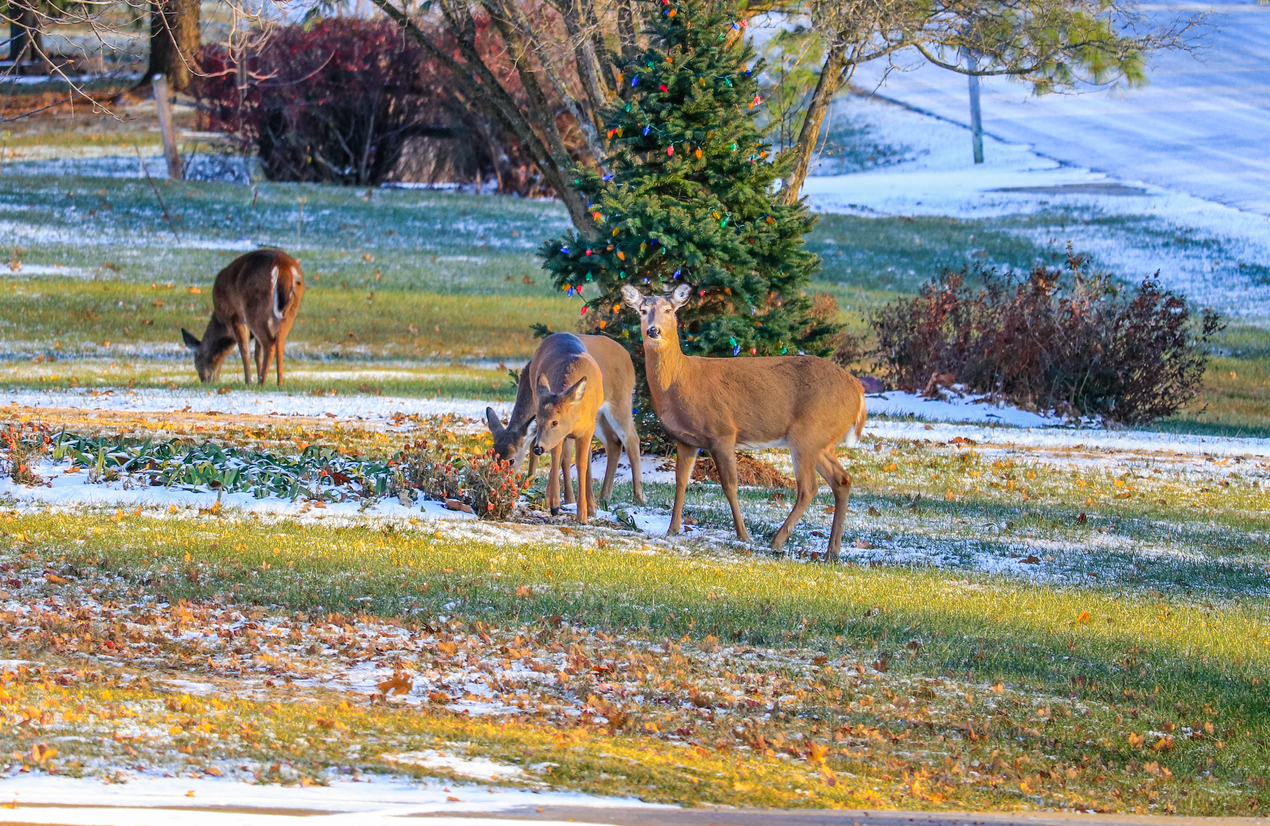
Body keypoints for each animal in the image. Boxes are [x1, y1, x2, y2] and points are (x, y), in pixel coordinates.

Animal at [180, 247, 303, 386]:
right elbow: (257, 353)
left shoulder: (234, 317)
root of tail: (282, 266)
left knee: (269, 343)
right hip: (290, 310)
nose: (206, 381)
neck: (221, 320)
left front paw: (249, 382)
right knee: (279, 342)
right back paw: (279, 383)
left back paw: (261, 382)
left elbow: (244, 350)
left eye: (196, 362)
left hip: (254, 308)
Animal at [482, 330, 645, 505]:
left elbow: (564, 456)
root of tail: (627, 356)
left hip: (621, 400)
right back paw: (604, 497)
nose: (495, 483)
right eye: (492, 456)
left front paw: (567, 498)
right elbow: (539, 447)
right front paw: (532, 484)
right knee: (613, 442)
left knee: (631, 439)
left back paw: (639, 498)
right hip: (598, 417)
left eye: (511, 460)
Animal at [622, 283, 868, 559]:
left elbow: (730, 485)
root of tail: (859, 390)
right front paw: (672, 529)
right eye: (642, 310)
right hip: (821, 440)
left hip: (808, 433)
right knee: (842, 479)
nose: (654, 330)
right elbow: (681, 481)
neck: (679, 380)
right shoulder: (686, 439)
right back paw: (831, 551)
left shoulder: (723, 432)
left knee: (809, 487)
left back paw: (777, 541)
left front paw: (743, 535)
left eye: (668, 310)